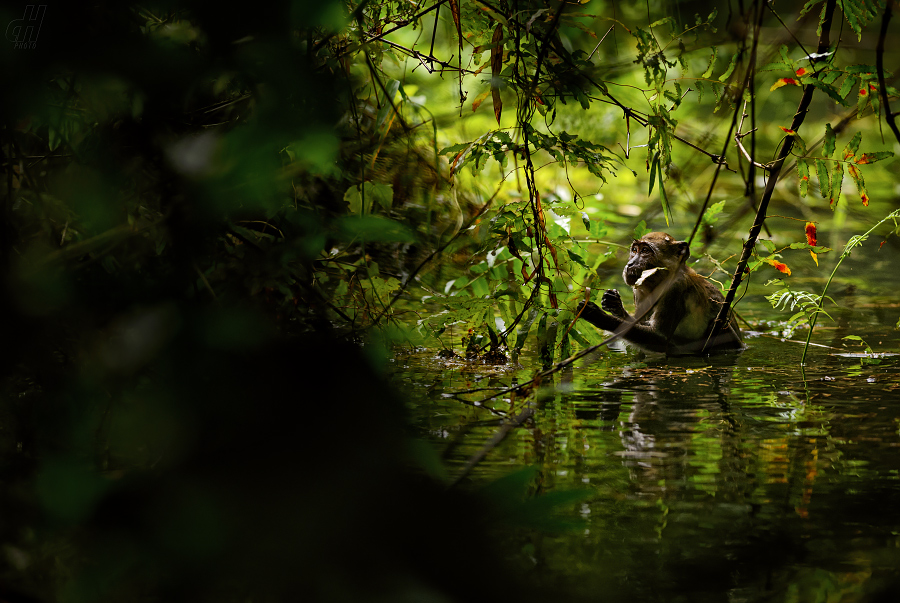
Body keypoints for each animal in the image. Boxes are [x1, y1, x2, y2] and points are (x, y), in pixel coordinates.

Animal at [576, 230, 744, 354]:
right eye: (634, 250)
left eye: (645, 251)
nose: (630, 264)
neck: (659, 280)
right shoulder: (639, 290)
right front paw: (614, 304)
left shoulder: (675, 289)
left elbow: (660, 337)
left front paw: (599, 316)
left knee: (717, 325)